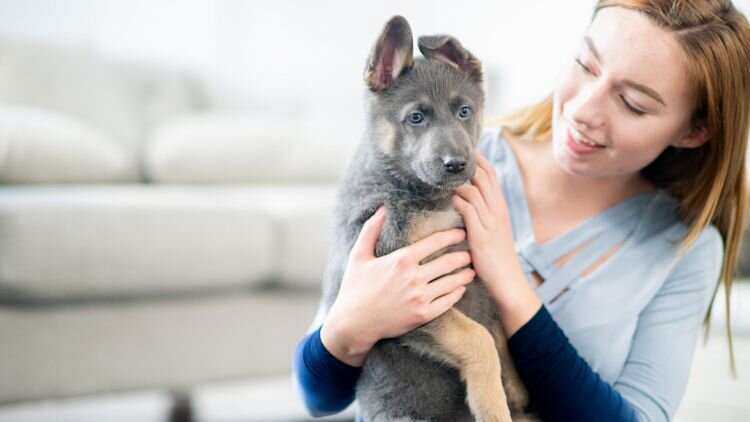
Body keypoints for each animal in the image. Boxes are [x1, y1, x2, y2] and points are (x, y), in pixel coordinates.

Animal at [320, 15, 532, 422]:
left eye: (464, 111)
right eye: (416, 118)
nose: (456, 165)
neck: (427, 196)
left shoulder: (476, 271)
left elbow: (497, 327)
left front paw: (514, 385)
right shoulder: (413, 297)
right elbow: (480, 338)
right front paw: (494, 404)